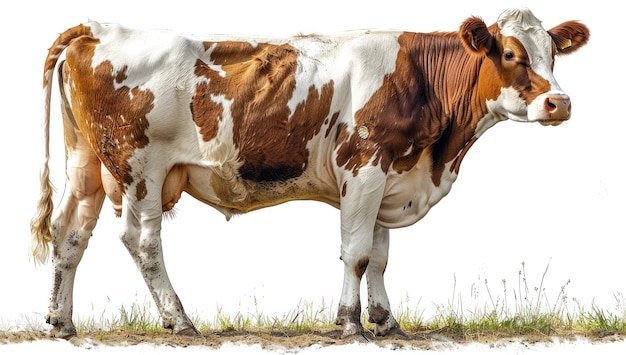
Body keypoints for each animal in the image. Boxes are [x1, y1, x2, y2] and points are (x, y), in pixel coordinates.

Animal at [30, 8, 584, 340]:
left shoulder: (389, 175)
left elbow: (380, 255)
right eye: (510, 53)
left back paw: (61, 321)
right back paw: (179, 319)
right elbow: (356, 253)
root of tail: (97, 28)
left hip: (85, 163)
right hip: (139, 168)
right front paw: (351, 325)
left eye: (554, 54)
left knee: (70, 231)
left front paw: (386, 322)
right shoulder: (365, 166)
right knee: (141, 241)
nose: (560, 103)